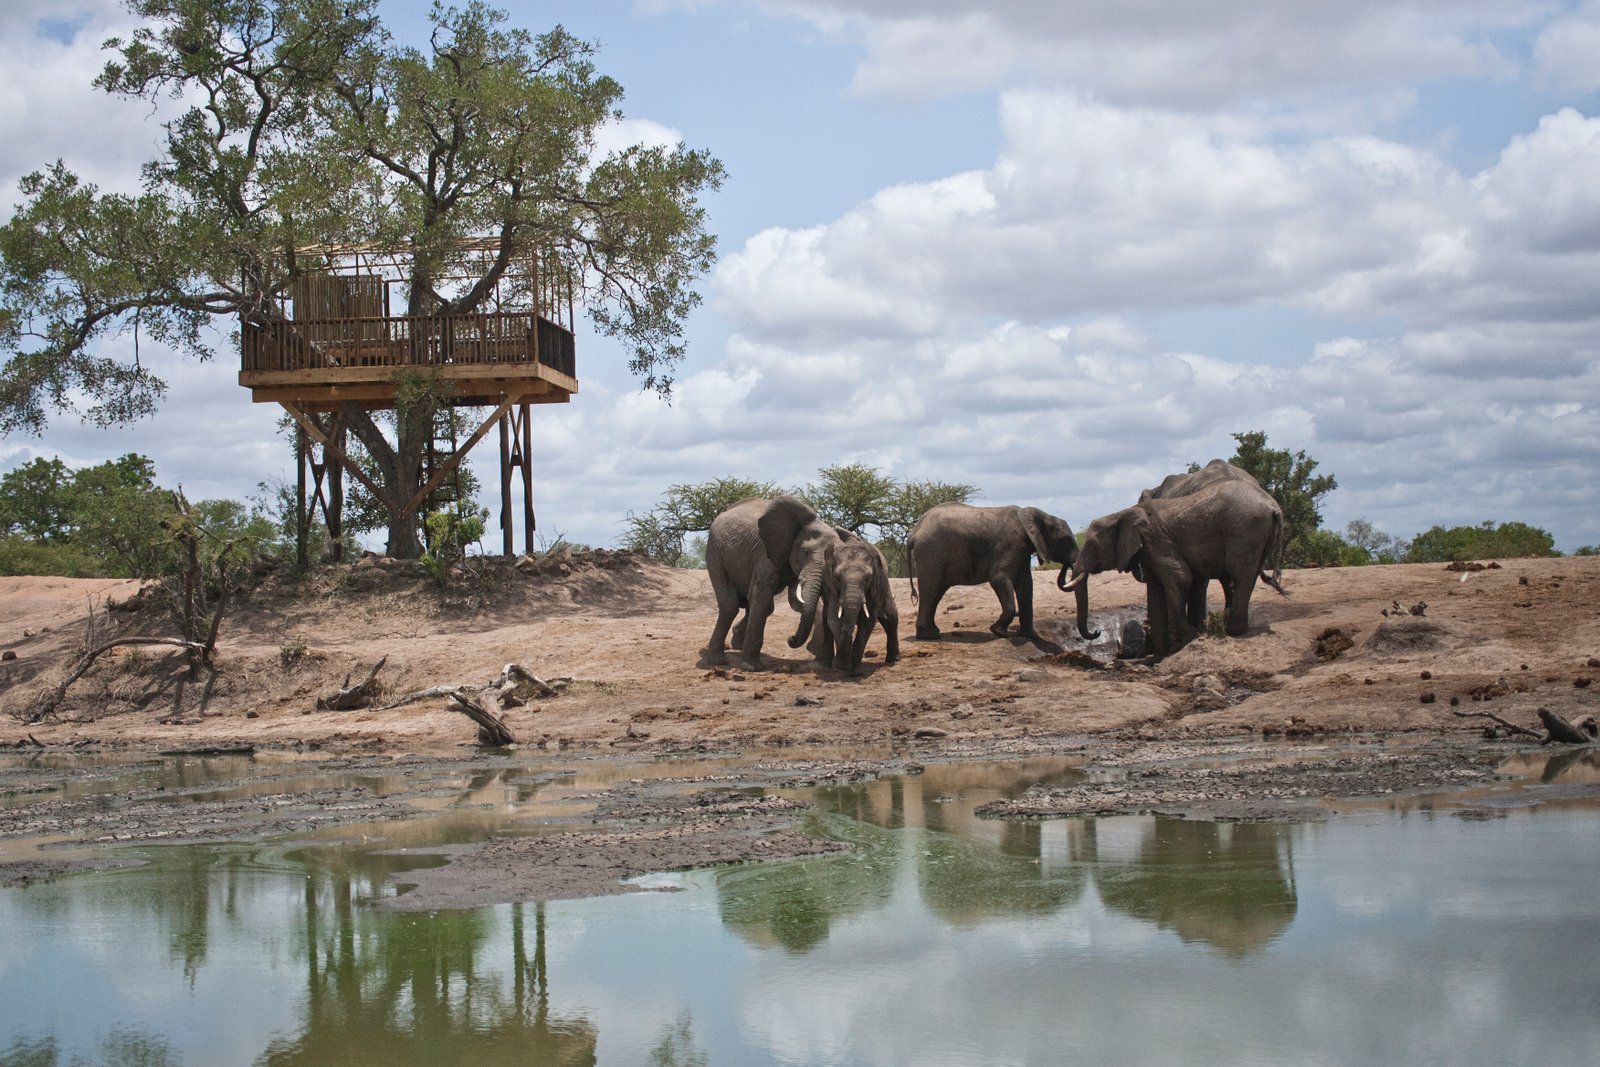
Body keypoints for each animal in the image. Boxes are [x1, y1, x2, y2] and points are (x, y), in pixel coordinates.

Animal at [704, 495, 845, 670]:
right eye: (805, 552)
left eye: (832, 559)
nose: (791, 639)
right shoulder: (764, 552)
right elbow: (763, 596)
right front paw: (752, 668)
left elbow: (796, 602)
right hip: (715, 552)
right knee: (730, 605)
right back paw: (719, 661)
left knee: (754, 603)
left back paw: (737, 644)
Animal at [820, 536, 900, 675]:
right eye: (838, 578)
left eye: (867, 579)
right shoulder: (830, 587)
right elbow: (834, 619)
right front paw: (844, 666)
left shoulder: (875, 586)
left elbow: (867, 622)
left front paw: (855, 671)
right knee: (825, 622)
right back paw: (825, 666)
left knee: (891, 619)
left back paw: (893, 659)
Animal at [906, 504, 1080, 641]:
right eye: (1067, 541)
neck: (1039, 515)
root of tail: (914, 532)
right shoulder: (1011, 544)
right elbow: (998, 577)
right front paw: (1000, 633)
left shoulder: (1022, 550)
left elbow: (1025, 585)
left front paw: (1031, 636)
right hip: (932, 551)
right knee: (931, 589)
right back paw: (929, 636)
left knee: (936, 591)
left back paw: (933, 633)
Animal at [1064, 476, 1286, 659]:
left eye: (1092, 546)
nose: (1096, 632)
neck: (1121, 514)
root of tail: (1273, 506)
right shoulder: (1147, 549)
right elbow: (1155, 593)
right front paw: (1157, 658)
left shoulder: (1155, 539)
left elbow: (1180, 577)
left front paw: (1190, 636)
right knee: (1247, 574)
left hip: (1245, 530)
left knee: (1240, 574)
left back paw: (1232, 630)